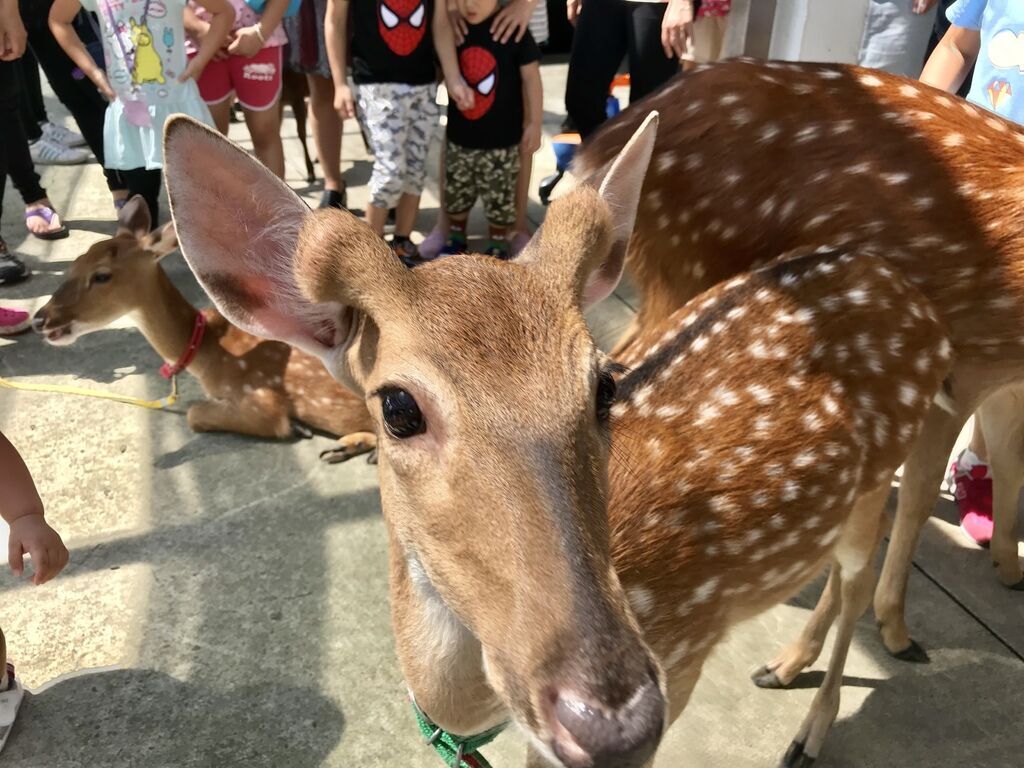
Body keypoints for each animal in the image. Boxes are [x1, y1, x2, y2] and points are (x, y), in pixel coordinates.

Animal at [30, 196, 376, 462]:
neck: (206, 355)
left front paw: (296, 426)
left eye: (101, 275)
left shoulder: (258, 396)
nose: (40, 319)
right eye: (74, 263)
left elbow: (194, 414)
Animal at [161, 111, 958, 765]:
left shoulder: (686, 657)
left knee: (864, 567)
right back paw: (783, 666)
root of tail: (913, 296)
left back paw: (809, 728)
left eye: (605, 384)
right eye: (397, 407)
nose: (614, 722)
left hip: (880, 473)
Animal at [573, 60, 1024, 671]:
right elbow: (923, 493)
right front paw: (895, 629)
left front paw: (1009, 566)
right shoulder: (968, 360)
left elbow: (1007, 456)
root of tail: (602, 143)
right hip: (689, 268)